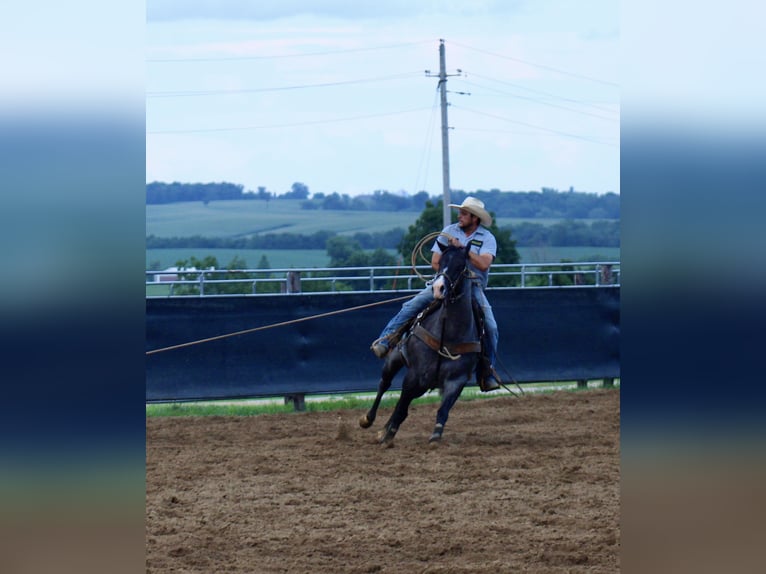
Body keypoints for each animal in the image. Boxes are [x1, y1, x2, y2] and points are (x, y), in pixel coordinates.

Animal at [358, 245, 480, 448]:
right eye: (440, 262)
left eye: (461, 265)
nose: (438, 288)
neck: (448, 334)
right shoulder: (414, 375)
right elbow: (401, 406)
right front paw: (388, 435)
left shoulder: (457, 380)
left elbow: (442, 409)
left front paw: (436, 435)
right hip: (395, 361)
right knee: (384, 385)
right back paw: (368, 420)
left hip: (424, 384)